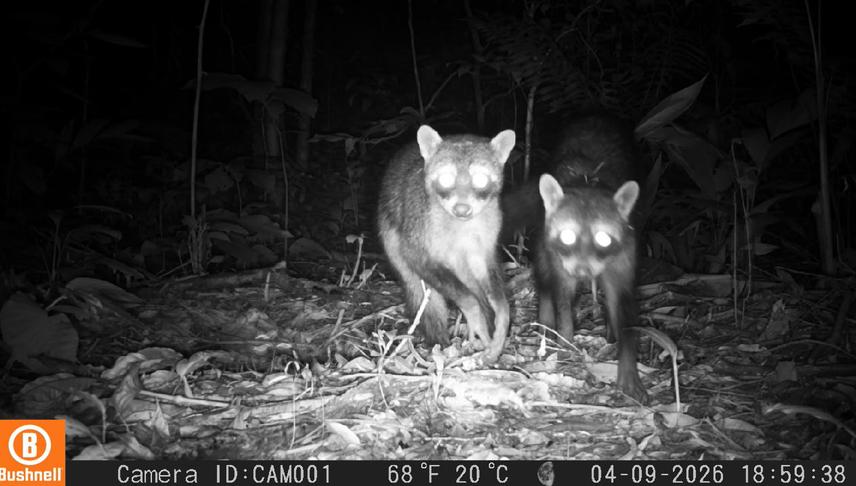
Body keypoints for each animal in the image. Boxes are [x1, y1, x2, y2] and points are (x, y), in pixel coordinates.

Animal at [377, 125, 516, 363]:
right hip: (391, 234)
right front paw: (474, 313)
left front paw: (500, 315)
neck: (461, 225)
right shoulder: (420, 225)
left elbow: (487, 274)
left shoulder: (487, 233)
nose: (462, 209)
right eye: (445, 179)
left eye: (480, 180)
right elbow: (418, 260)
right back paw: (440, 342)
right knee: (423, 293)